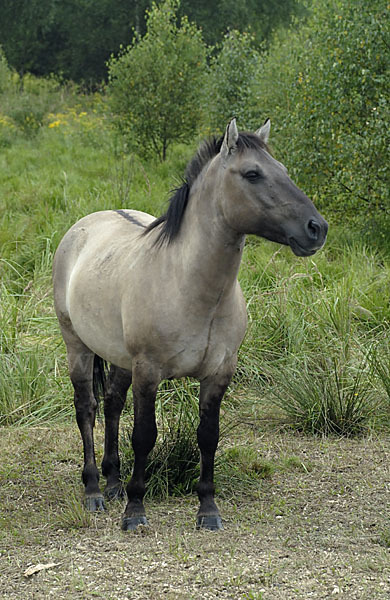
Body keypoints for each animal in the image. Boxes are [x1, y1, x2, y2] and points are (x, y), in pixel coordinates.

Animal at [51, 117, 326, 528]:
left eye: (284, 170)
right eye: (253, 174)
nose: (316, 228)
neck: (191, 287)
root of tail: (84, 226)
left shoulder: (219, 373)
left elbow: (208, 436)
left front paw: (208, 509)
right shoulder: (148, 371)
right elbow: (144, 436)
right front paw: (135, 510)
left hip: (118, 357)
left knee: (113, 404)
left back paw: (113, 482)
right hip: (78, 347)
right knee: (87, 408)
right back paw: (95, 491)